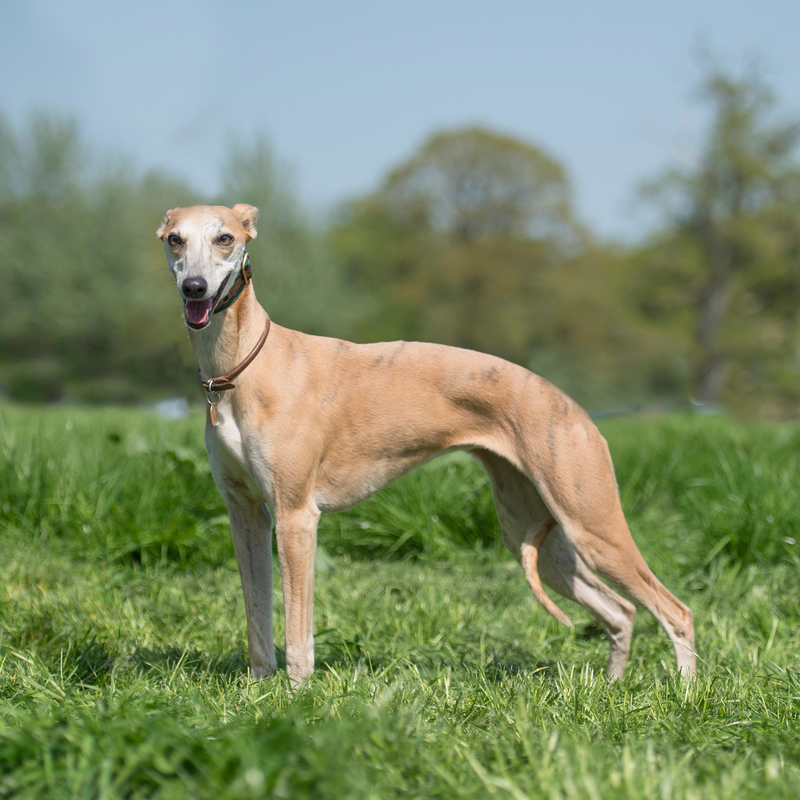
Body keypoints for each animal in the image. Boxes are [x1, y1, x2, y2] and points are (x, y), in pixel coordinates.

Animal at [156, 202, 692, 680]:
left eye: (225, 237)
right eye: (175, 239)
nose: (194, 288)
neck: (239, 369)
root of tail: (577, 410)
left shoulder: (295, 517)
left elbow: (297, 633)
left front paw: (297, 698)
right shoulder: (245, 513)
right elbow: (257, 621)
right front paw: (260, 690)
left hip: (593, 524)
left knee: (675, 611)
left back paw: (684, 696)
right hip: (537, 531)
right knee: (622, 611)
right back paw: (612, 687)